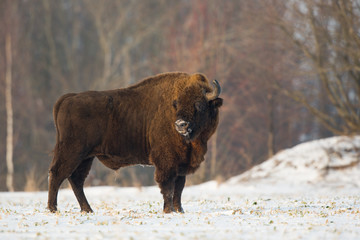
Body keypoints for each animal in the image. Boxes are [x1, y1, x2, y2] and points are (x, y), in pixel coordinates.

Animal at [47, 71, 222, 214]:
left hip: (86, 157)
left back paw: (87, 210)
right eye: (176, 104)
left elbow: (179, 189)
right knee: (57, 174)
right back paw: (53, 209)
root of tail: (68, 98)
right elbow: (168, 187)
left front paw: (179, 210)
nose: (181, 125)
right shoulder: (166, 162)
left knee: (75, 179)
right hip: (72, 152)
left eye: (199, 105)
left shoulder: (181, 164)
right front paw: (169, 210)